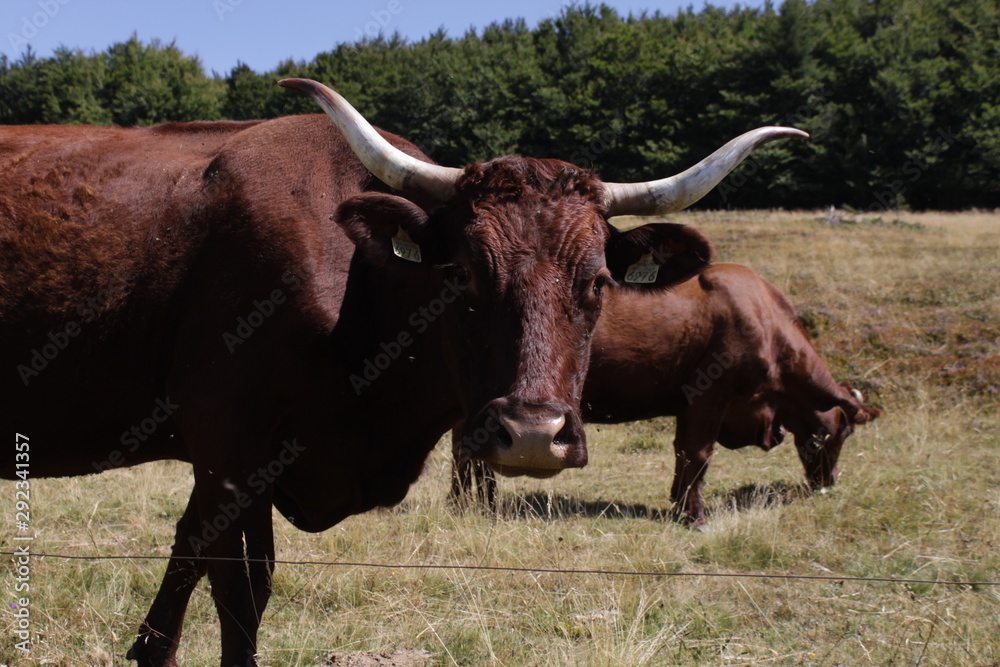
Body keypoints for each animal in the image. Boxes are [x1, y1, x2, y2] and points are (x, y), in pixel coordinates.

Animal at [0, 79, 804, 667]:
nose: (531, 434)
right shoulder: (228, 453)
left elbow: (219, 575)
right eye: (463, 276)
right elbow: (230, 591)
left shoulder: (242, 467)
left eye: (598, 282)